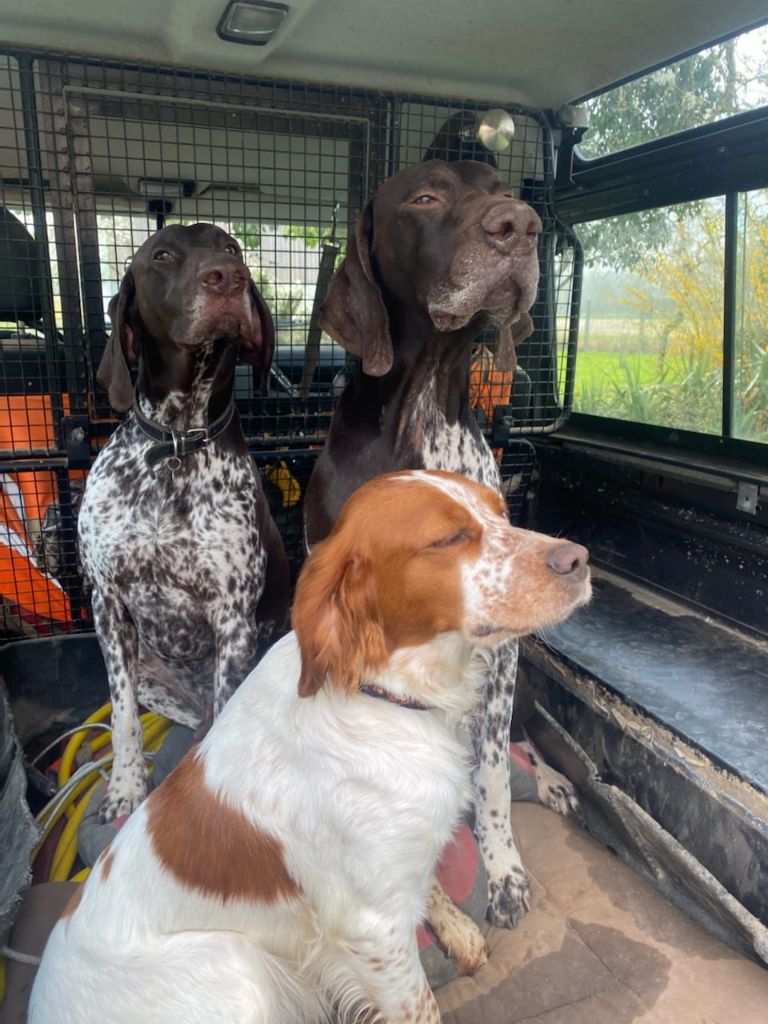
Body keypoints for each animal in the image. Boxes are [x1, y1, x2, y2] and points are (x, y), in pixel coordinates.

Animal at [30, 468, 589, 1024]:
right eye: (449, 538)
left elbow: (424, 881)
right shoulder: (375, 931)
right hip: (239, 970)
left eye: (503, 514)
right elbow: (419, 1003)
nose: (579, 559)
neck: (383, 691)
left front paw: (455, 928)